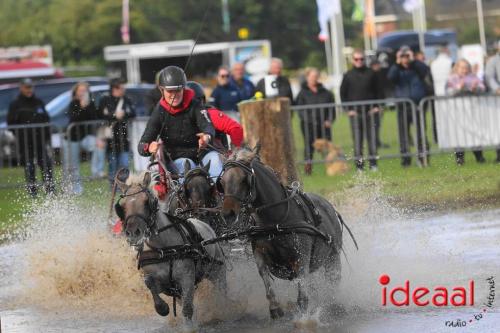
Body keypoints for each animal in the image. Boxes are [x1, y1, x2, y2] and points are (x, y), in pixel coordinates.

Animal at [113, 167, 227, 322]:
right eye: (122, 205)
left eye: (146, 202)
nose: (133, 233)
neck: (164, 249)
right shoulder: (164, 284)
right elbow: (150, 284)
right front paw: (163, 308)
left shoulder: (187, 279)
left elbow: (187, 309)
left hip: (217, 271)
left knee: (222, 289)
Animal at [215, 146, 352, 316]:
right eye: (221, 182)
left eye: (243, 180)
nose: (228, 214)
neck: (275, 221)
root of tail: (329, 206)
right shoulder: (260, 252)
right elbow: (264, 275)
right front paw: (275, 307)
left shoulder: (301, 259)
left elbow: (302, 297)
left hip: (332, 257)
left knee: (332, 281)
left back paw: (332, 305)